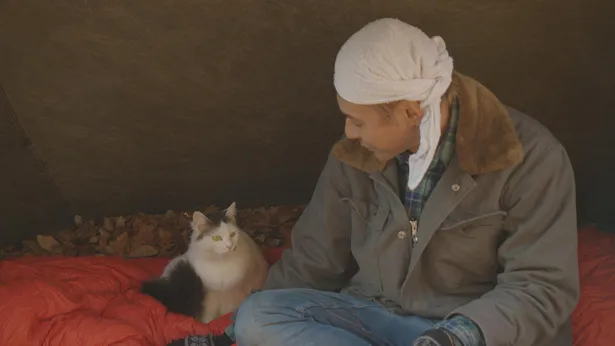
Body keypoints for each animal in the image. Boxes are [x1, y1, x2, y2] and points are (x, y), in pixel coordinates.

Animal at [144, 201, 272, 324]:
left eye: (232, 234)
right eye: (216, 238)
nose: (229, 246)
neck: (222, 263)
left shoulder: (235, 292)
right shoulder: (209, 295)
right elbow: (208, 315)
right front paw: (206, 323)